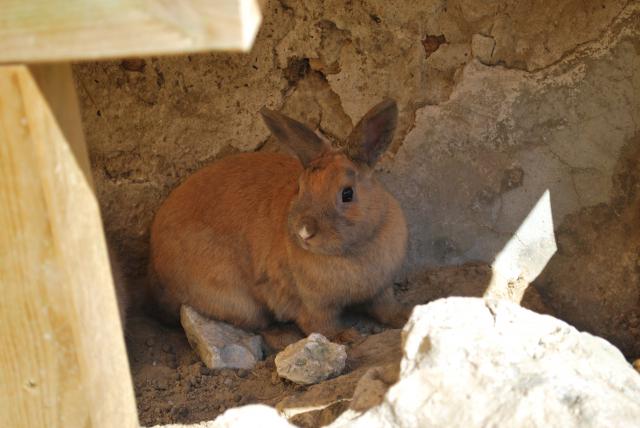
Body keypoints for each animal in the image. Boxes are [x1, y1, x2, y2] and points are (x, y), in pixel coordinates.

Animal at [147, 98, 408, 340]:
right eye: (301, 188)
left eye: (347, 194)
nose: (304, 232)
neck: (351, 251)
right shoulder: (312, 304)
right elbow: (320, 325)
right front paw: (346, 336)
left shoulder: (381, 289)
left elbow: (386, 308)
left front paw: (405, 317)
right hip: (240, 303)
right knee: (259, 326)